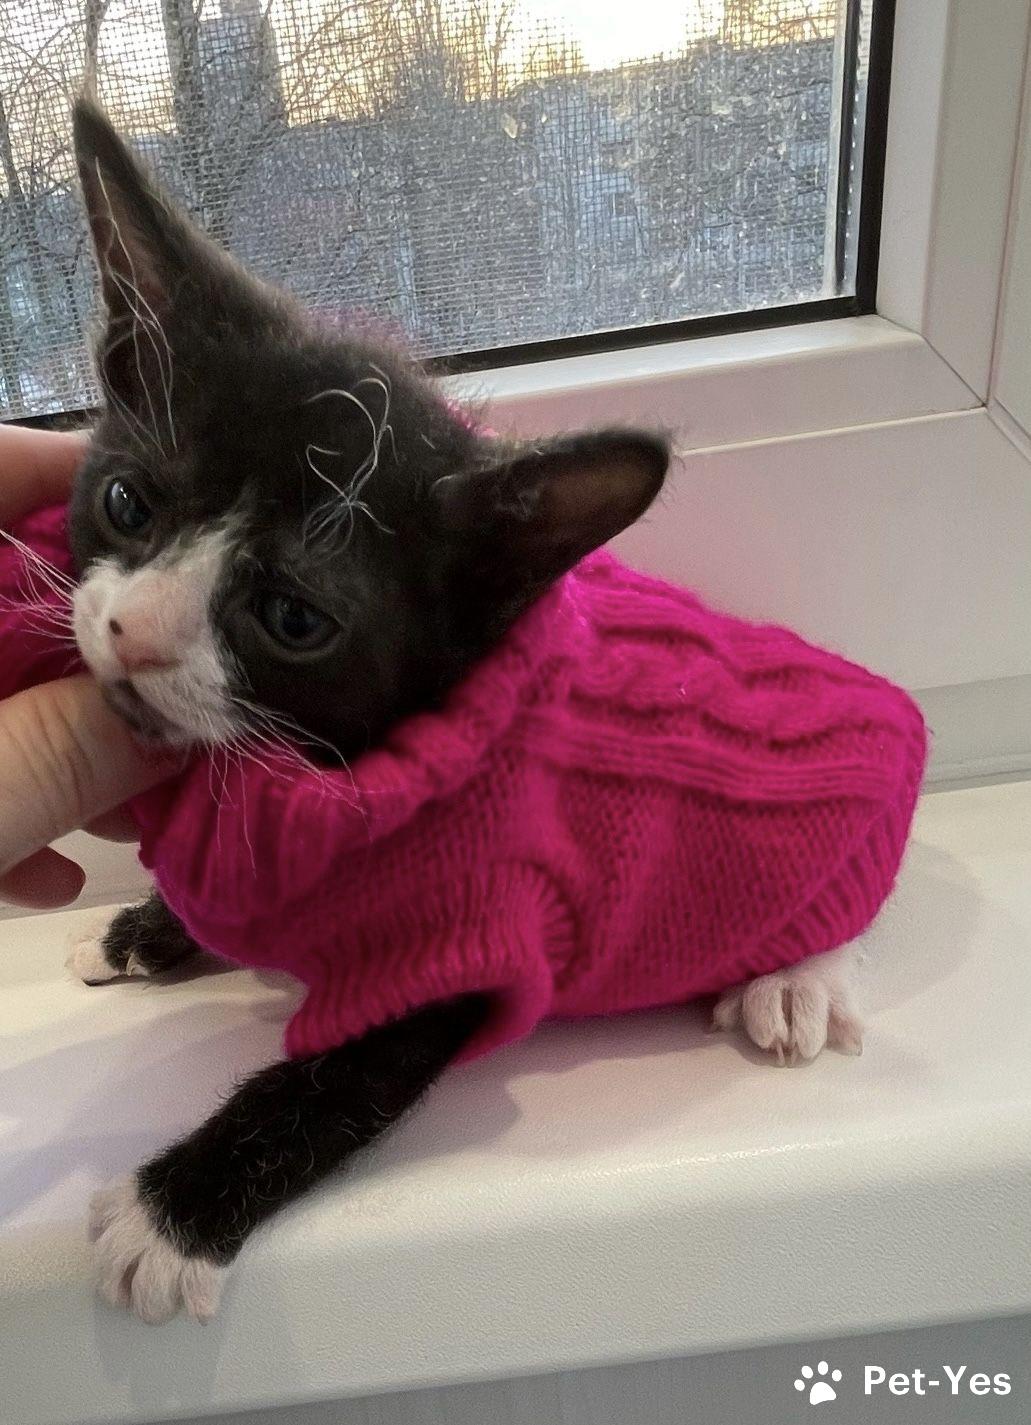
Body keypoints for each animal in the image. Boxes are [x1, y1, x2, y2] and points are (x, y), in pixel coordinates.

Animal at [61, 101, 865, 1323]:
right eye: (125, 501)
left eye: (292, 617)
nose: (132, 631)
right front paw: (141, 929)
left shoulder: (478, 938)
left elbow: (338, 1076)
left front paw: (168, 1217)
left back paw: (789, 981)